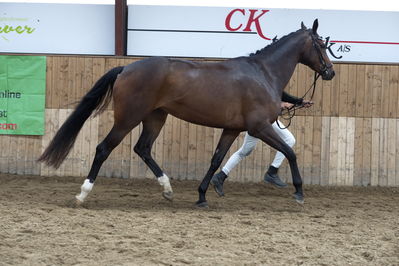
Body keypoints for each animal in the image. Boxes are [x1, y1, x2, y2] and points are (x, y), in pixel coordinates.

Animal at [39, 19, 334, 207]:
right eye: (321, 44)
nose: (330, 72)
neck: (263, 73)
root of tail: (125, 68)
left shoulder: (232, 129)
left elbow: (216, 160)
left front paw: (202, 195)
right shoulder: (259, 127)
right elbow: (290, 152)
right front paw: (299, 191)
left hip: (155, 117)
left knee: (143, 149)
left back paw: (168, 189)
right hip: (128, 118)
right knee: (103, 149)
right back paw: (83, 194)